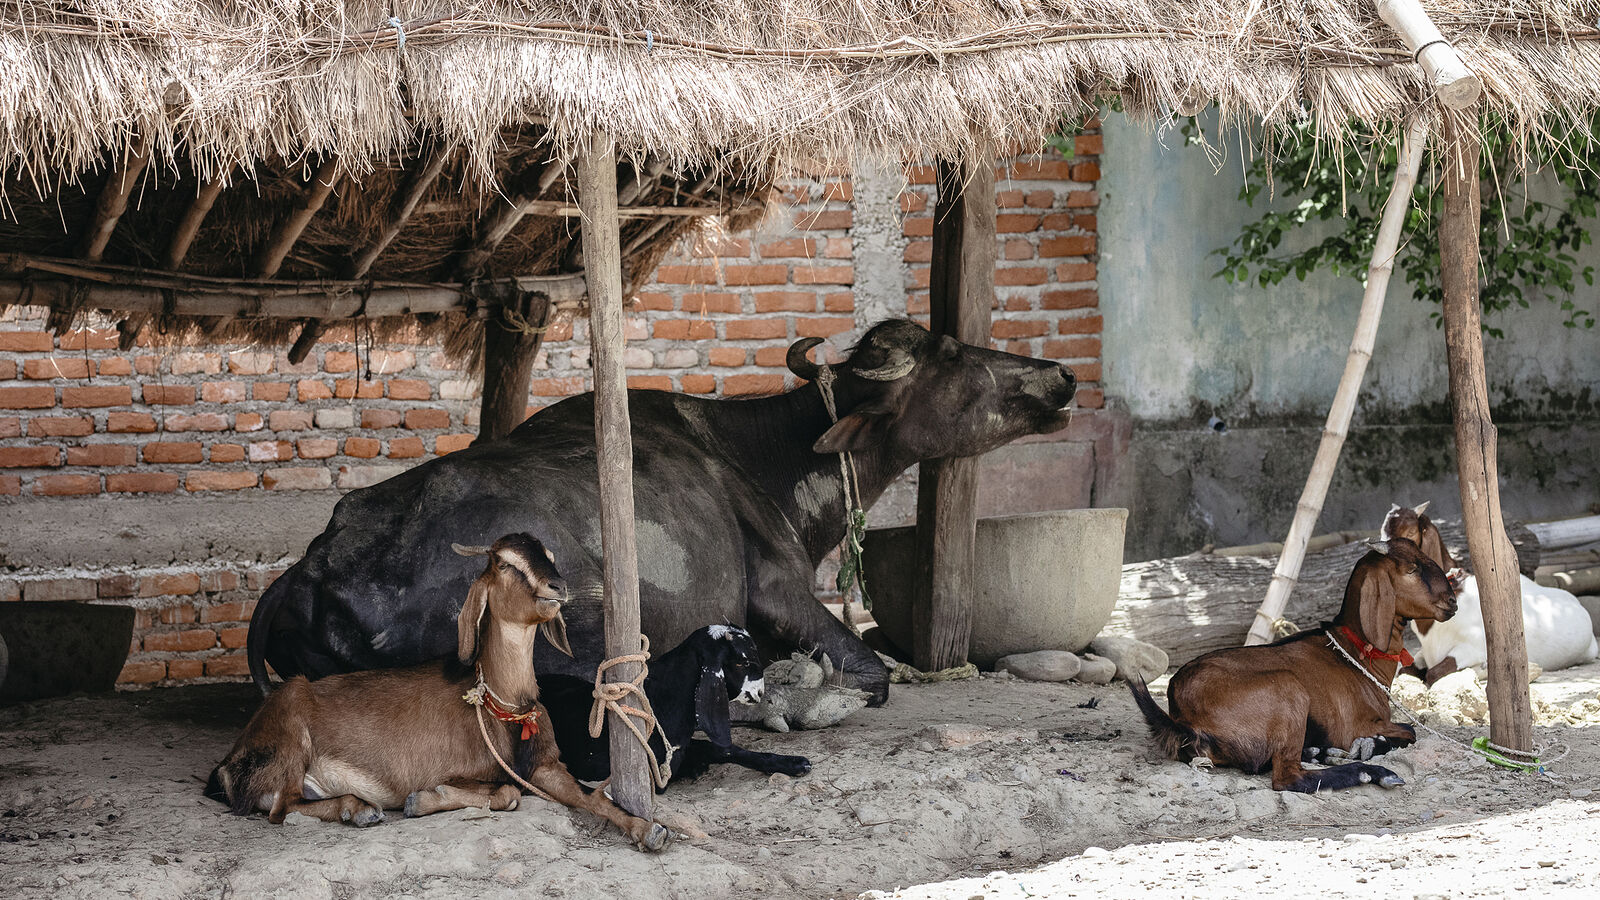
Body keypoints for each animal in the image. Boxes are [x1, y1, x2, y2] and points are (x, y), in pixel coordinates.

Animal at [206, 533, 669, 851]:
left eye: (549, 557)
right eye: (505, 564)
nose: (558, 588)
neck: (500, 706)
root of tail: (229, 764)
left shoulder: (544, 766)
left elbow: (592, 795)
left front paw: (650, 829)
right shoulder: (456, 768)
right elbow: (505, 793)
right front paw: (424, 799)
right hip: (290, 732)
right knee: (280, 809)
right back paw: (359, 809)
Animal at [248, 319, 1076, 704]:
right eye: (953, 355)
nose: (1061, 377)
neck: (760, 461)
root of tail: (319, 567)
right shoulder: (779, 592)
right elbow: (873, 671)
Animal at [1129, 538, 1457, 792]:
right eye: (1412, 569)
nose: (1452, 601)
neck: (1354, 655)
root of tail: (1182, 718)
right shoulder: (1355, 725)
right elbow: (1410, 731)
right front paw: (1366, 745)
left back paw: (1318, 751)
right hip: (1287, 691)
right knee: (1288, 778)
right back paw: (1371, 772)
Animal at [1384, 502, 1599, 685]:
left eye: (1411, 533)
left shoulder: (1471, 648)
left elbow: (1433, 673)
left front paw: (1484, 670)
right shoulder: (1423, 653)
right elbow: (1405, 671)